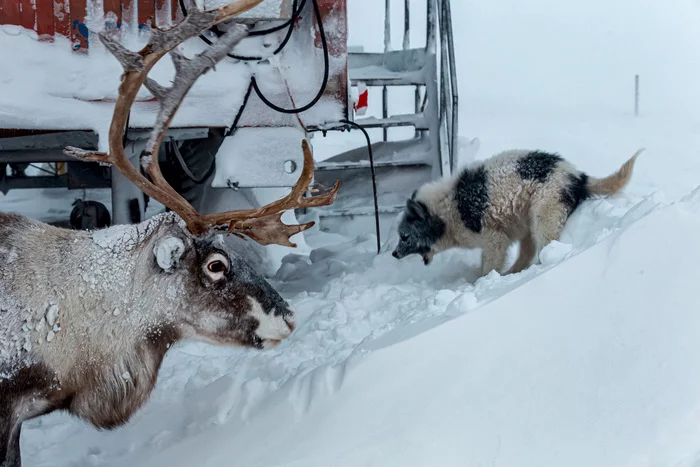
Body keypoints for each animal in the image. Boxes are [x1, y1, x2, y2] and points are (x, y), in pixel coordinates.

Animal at [392, 148, 644, 276]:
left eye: (404, 236)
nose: (393, 254)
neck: (444, 213)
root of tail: (577, 176)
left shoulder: (494, 240)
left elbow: (487, 268)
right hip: (528, 224)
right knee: (527, 253)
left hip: (543, 216)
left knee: (544, 248)